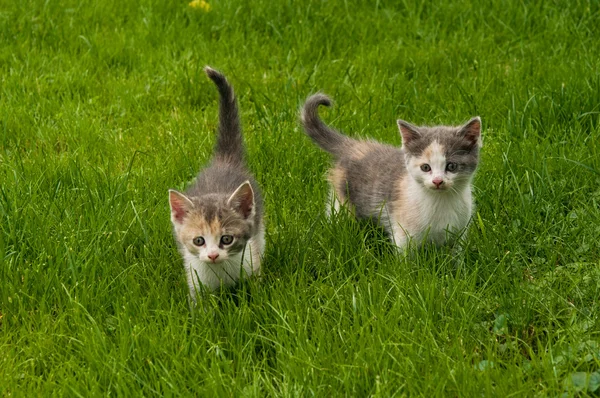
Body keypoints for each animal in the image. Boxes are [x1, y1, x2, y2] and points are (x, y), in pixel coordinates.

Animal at [168, 67, 264, 298]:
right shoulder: (195, 278)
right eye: (199, 240)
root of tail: (223, 159)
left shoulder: (252, 260)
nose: (212, 255)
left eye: (226, 239)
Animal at [300, 93, 482, 249]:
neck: (440, 201)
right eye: (425, 167)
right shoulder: (404, 234)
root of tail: (354, 146)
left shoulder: (459, 233)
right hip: (341, 201)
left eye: (451, 166)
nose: (438, 181)